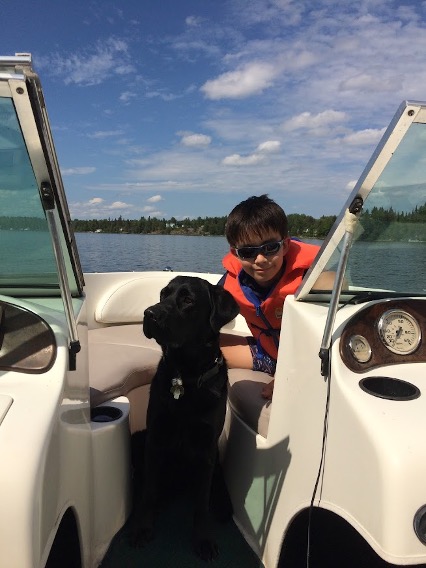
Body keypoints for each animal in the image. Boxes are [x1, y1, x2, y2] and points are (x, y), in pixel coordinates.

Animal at [131, 274, 240, 560]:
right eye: (163, 294)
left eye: (188, 299)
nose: (149, 313)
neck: (185, 377)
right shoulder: (155, 437)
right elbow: (149, 491)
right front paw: (143, 528)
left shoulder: (206, 448)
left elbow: (201, 503)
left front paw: (203, 539)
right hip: (139, 438)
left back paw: (222, 502)